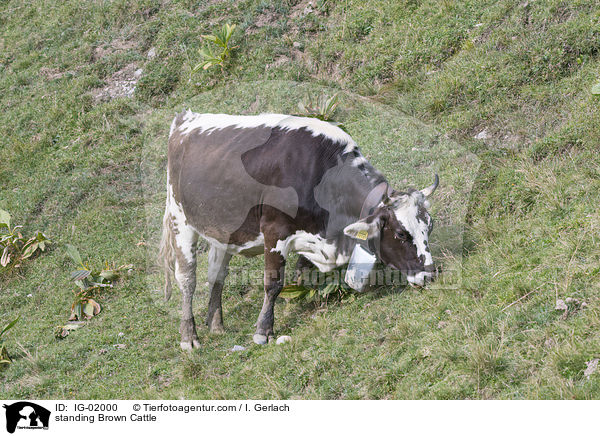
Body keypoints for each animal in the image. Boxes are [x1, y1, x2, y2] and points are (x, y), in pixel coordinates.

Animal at [157, 110, 438, 350]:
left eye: (430, 225)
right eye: (401, 234)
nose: (430, 275)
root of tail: (185, 119)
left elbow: (303, 274)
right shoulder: (274, 231)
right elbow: (273, 283)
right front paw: (263, 331)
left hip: (223, 230)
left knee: (216, 274)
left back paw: (216, 324)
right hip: (181, 222)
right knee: (187, 279)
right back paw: (189, 336)